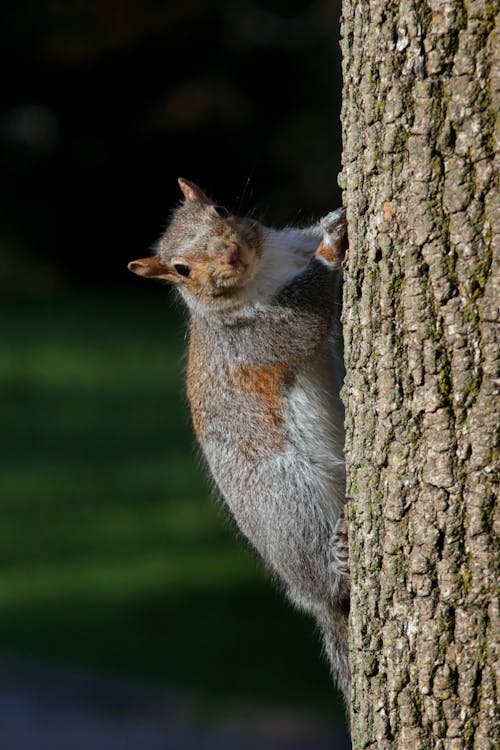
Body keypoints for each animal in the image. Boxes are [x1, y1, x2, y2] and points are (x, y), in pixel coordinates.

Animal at [127, 179, 350, 708]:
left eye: (222, 208)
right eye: (181, 270)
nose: (230, 252)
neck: (266, 270)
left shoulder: (289, 244)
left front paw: (333, 219)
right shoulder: (252, 339)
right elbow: (306, 321)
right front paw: (331, 250)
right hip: (285, 499)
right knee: (320, 577)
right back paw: (337, 561)